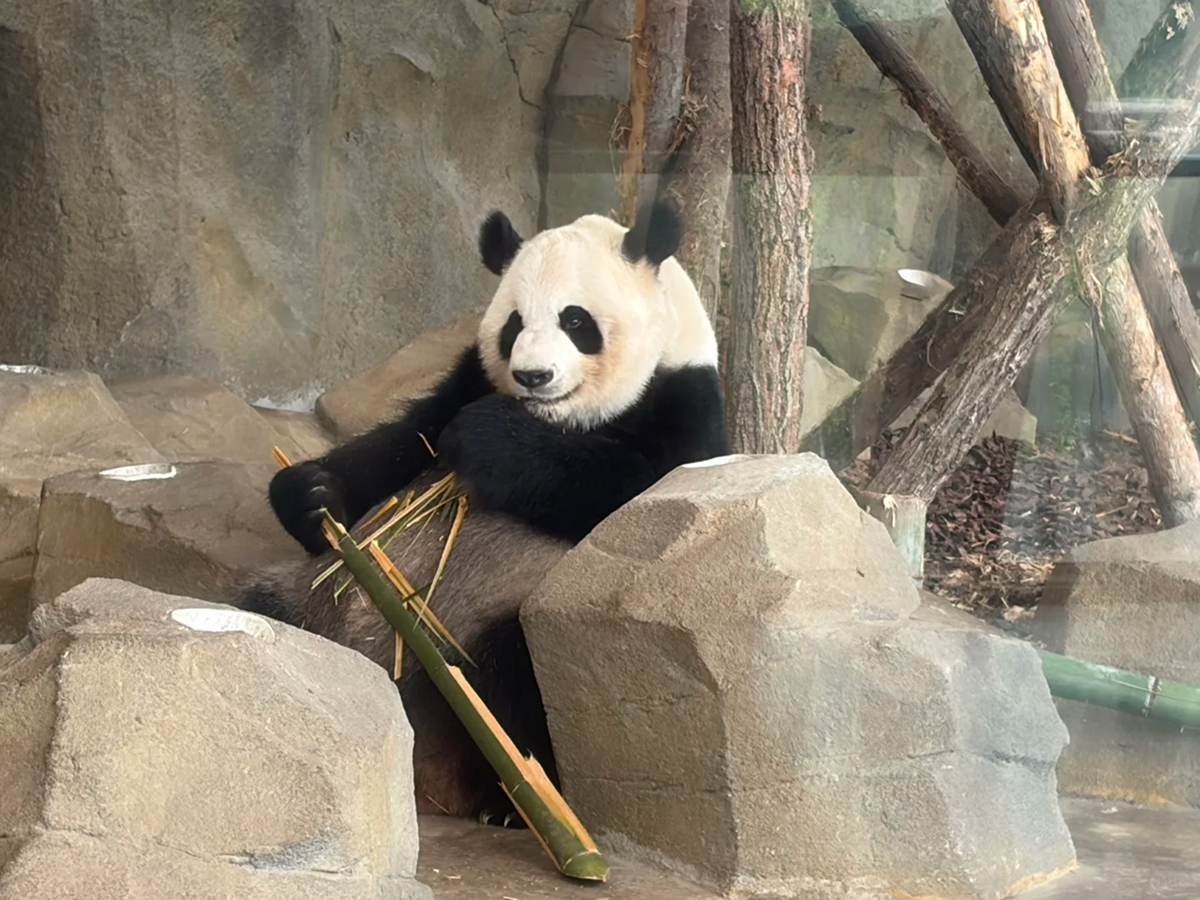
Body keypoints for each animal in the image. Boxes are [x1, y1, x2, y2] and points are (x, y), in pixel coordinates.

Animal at [238, 199, 728, 827]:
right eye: (514, 323)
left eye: (576, 322)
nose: (532, 377)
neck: (556, 418)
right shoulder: (464, 379)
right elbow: (401, 445)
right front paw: (310, 493)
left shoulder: (685, 411)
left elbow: (623, 490)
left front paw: (488, 439)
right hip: (305, 599)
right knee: (263, 614)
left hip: (495, 620)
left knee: (520, 676)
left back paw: (512, 802)